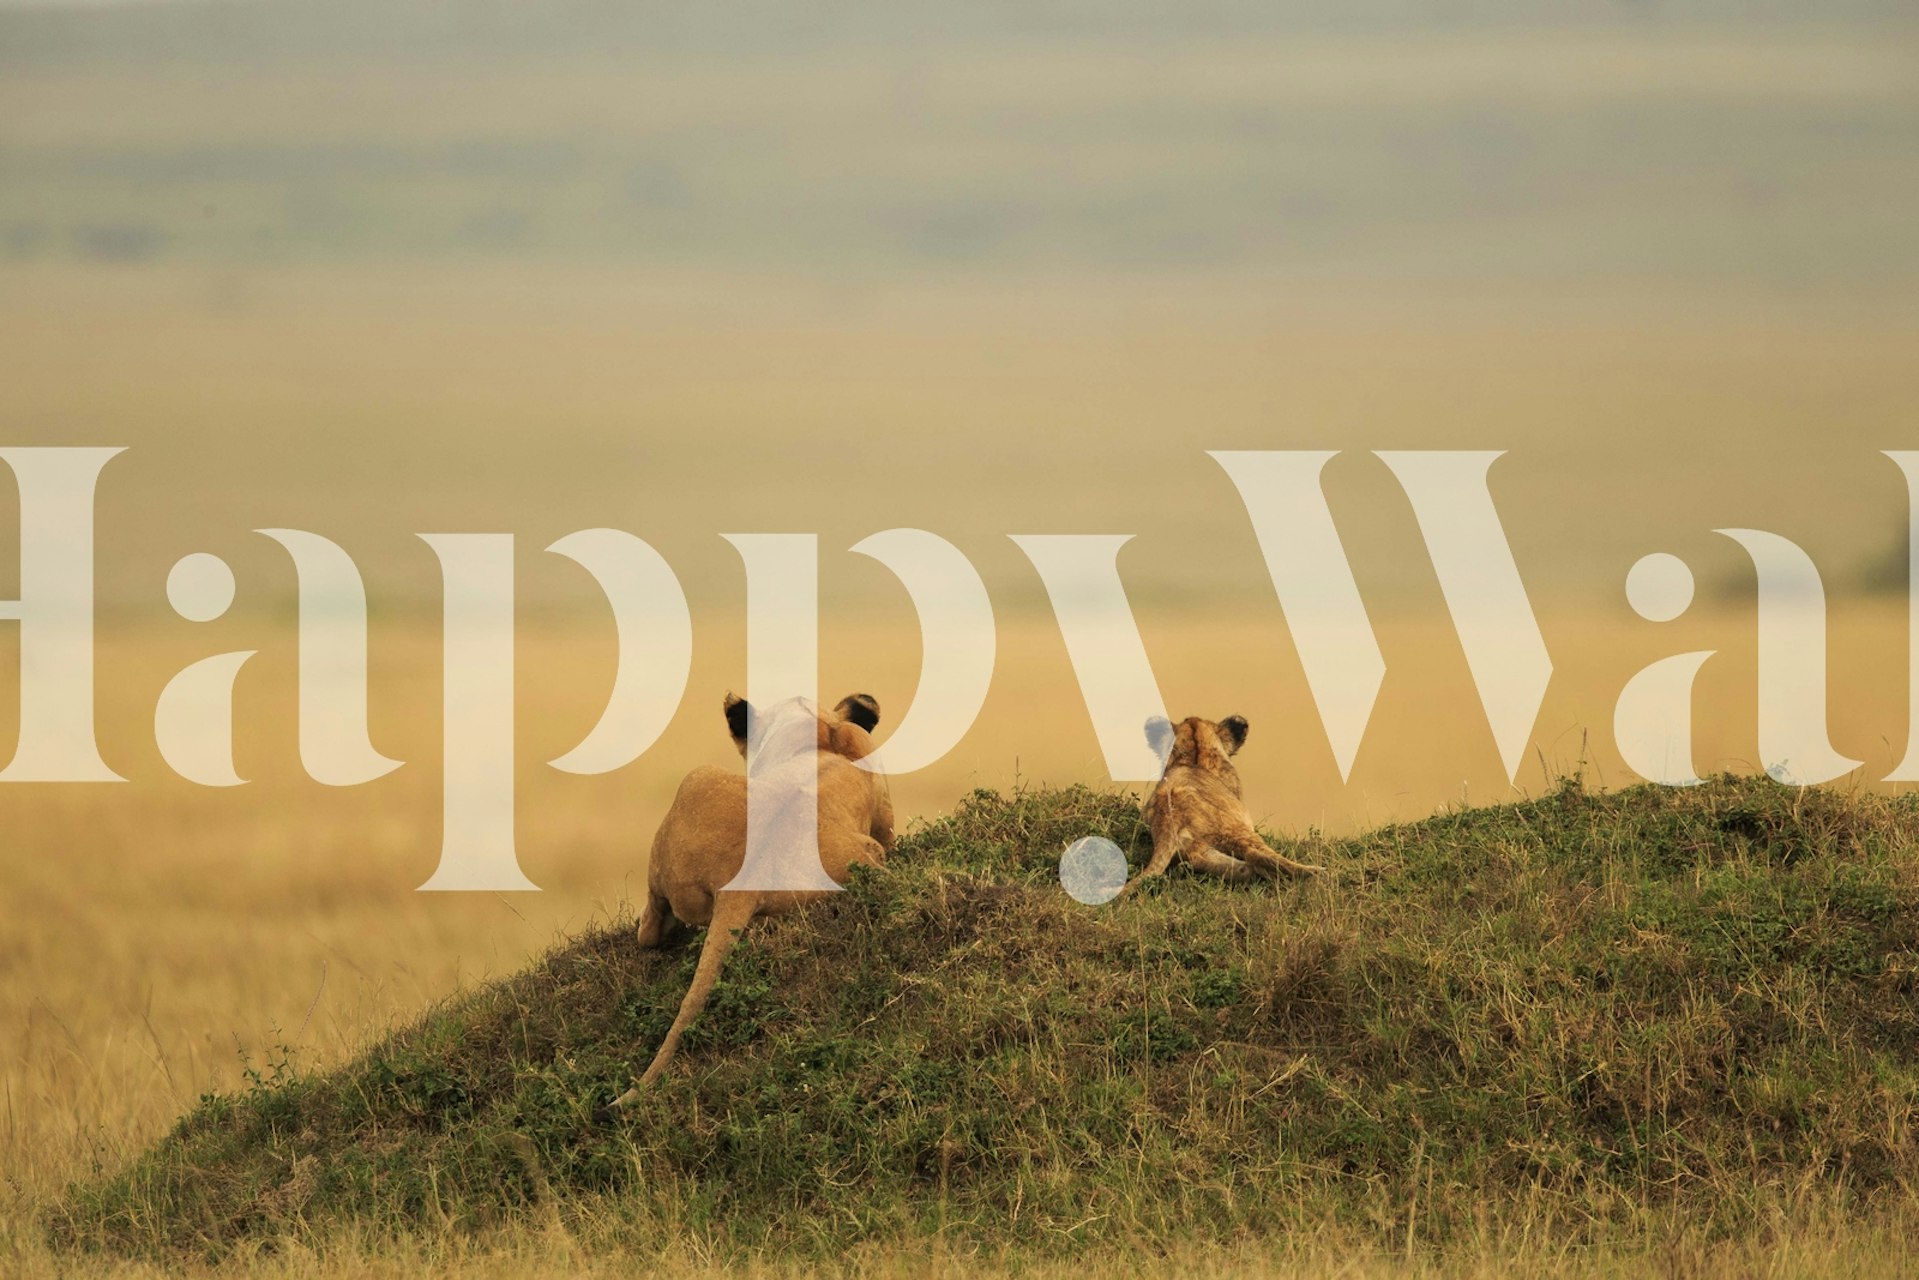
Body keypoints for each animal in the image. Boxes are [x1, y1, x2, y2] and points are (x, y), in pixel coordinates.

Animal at [1122, 714, 1323, 891]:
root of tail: (1171, 815)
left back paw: (1245, 871)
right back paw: (1314, 872)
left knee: (1205, 860)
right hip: (1236, 829)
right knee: (1258, 854)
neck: (1193, 756)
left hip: (1198, 846)